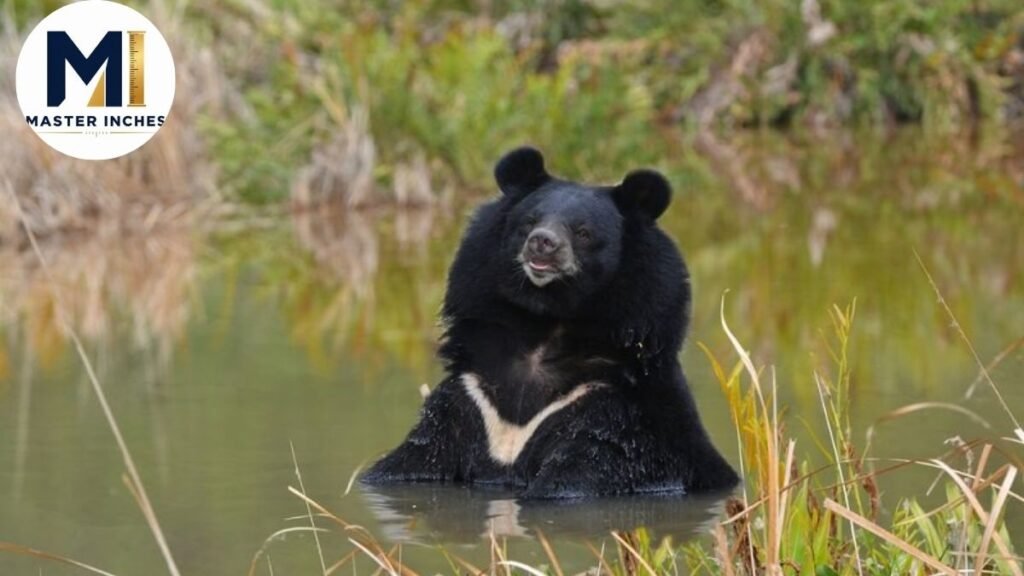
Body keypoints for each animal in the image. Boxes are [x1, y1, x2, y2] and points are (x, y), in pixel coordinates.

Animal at [361, 147, 739, 499]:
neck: (548, 319)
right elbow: (412, 460)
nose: (542, 243)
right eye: (529, 221)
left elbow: (580, 474)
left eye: (583, 232)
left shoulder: (612, 411)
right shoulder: (472, 396)